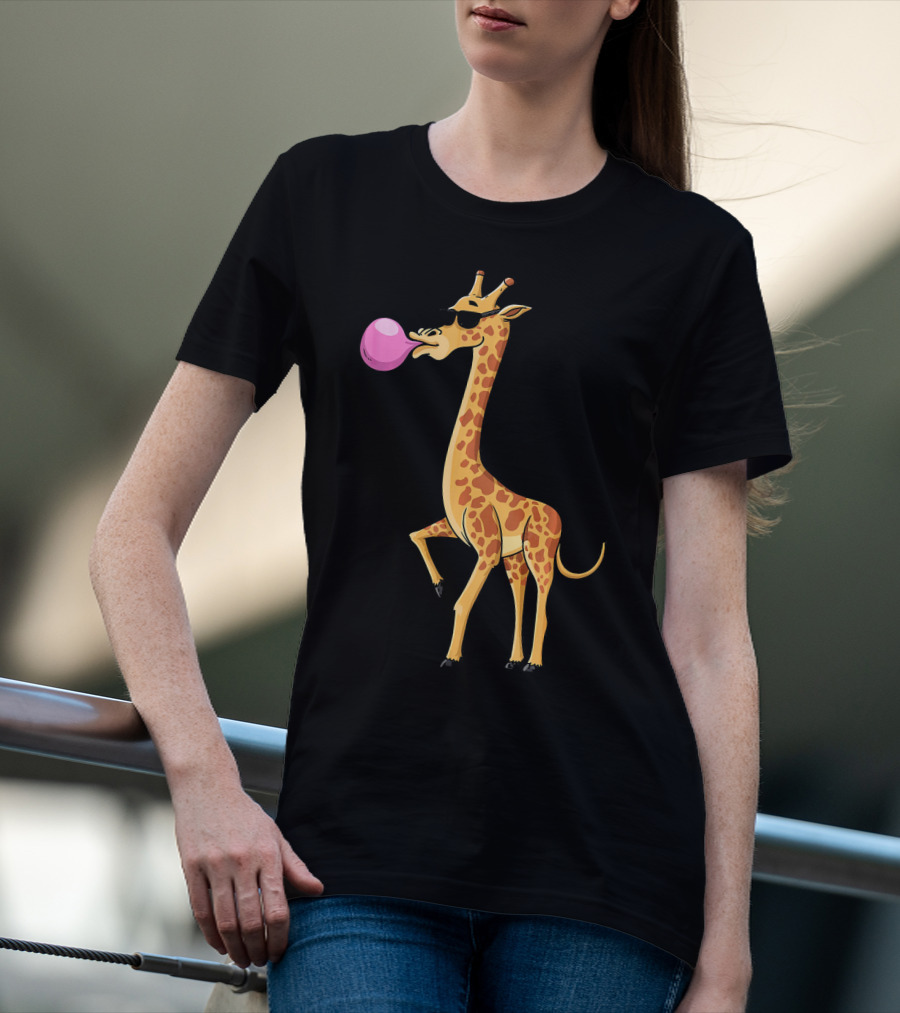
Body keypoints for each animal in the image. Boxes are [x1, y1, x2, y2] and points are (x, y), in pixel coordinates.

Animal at [408, 270, 605, 671]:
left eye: (467, 317)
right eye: (451, 308)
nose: (424, 334)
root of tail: (557, 517)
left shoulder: (486, 549)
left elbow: (463, 602)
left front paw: (451, 658)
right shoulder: (459, 531)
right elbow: (415, 534)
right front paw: (438, 583)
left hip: (539, 553)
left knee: (543, 606)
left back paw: (534, 663)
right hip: (516, 558)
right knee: (520, 599)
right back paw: (515, 660)